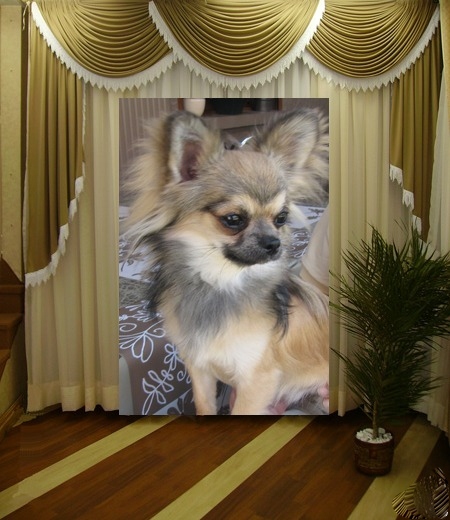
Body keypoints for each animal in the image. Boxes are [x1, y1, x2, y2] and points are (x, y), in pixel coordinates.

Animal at [123, 107, 329, 415]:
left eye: (281, 218)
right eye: (233, 219)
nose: (274, 243)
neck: (219, 282)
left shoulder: (257, 382)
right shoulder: (200, 369)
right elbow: (204, 406)